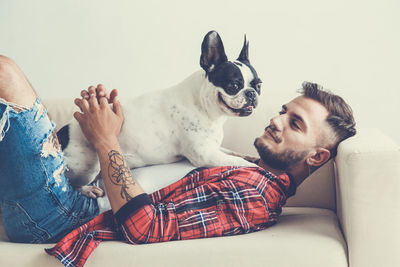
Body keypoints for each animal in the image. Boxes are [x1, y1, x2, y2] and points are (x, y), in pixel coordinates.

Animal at [57, 31, 262, 199]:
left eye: (259, 84)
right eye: (233, 85)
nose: (252, 93)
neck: (206, 106)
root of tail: (62, 133)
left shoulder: (213, 148)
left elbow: (233, 153)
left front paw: (250, 156)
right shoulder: (205, 155)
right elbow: (241, 163)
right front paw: (257, 166)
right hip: (89, 165)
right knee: (73, 184)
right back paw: (88, 189)